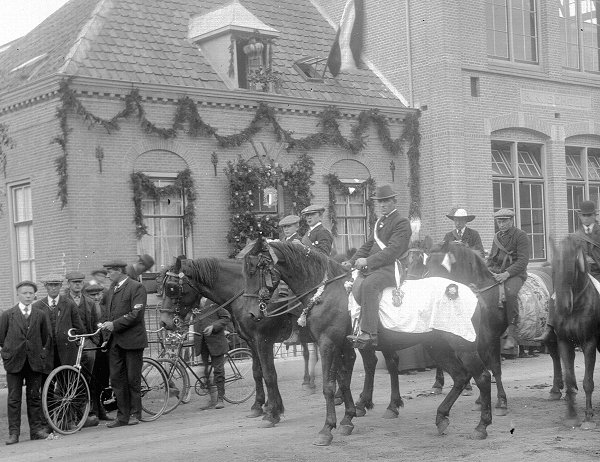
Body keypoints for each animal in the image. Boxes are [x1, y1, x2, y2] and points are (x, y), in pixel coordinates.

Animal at [159, 254, 298, 428]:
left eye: (172, 288)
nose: (164, 322)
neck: (246, 294)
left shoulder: (263, 341)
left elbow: (269, 375)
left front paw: (273, 412)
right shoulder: (252, 342)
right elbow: (257, 372)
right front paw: (259, 406)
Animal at [244, 236, 492, 442]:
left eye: (255, 268)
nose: (253, 313)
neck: (327, 291)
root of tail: (471, 292)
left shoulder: (327, 343)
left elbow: (328, 385)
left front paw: (327, 429)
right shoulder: (343, 346)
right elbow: (343, 381)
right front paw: (347, 419)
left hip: (463, 345)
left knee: (481, 376)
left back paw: (481, 426)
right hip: (437, 346)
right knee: (460, 377)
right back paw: (441, 416)